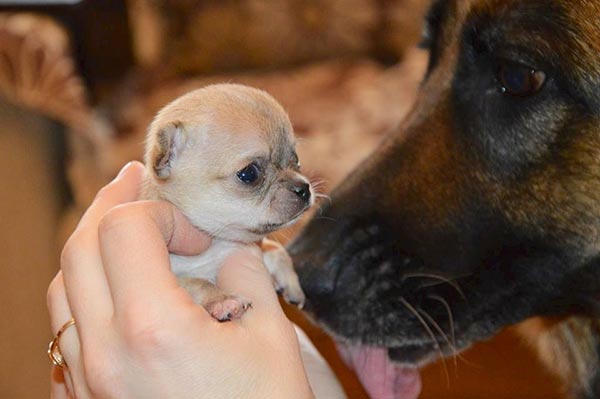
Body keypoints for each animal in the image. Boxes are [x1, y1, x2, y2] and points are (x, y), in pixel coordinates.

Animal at [141, 84, 310, 322]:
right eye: (249, 174)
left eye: (296, 160)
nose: (304, 189)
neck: (218, 242)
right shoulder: (176, 276)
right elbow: (197, 282)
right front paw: (223, 301)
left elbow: (276, 251)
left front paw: (289, 281)